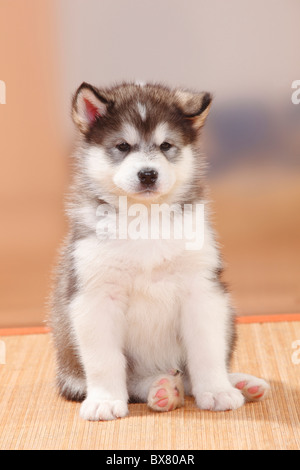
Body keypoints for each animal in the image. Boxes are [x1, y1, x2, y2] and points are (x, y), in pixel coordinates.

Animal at [49, 81, 270, 422]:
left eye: (166, 145)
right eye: (122, 146)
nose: (148, 174)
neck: (145, 219)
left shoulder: (201, 290)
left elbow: (207, 350)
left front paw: (217, 390)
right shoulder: (95, 296)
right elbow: (104, 360)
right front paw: (104, 400)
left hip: (228, 314)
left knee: (192, 373)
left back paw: (240, 384)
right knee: (137, 381)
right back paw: (162, 389)